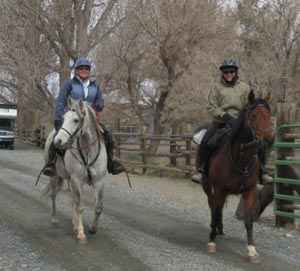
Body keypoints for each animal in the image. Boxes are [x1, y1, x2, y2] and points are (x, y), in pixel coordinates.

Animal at [43, 97, 106, 244]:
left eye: (76, 120)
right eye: (64, 118)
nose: (58, 140)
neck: (88, 152)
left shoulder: (98, 181)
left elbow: (98, 207)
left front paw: (93, 228)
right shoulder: (76, 180)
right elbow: (80, 207)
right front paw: (82, 234)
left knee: (73, 199)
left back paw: (75, 222)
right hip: (54, 177)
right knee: (54, 195)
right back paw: (54, 218)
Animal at [200, 91, 274, 264]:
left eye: (269, 115)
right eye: (254, 115)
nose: (268, 140)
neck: (241, 157)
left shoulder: (250, 191)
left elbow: (248, 221)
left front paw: (252, 251)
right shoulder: (218, 189)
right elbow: (215, 211)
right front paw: (211, 241)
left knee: (218, 208)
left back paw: (219, 229)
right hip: (207, 186)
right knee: (213, 206)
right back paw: (214, 229)